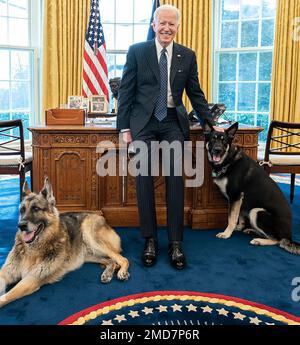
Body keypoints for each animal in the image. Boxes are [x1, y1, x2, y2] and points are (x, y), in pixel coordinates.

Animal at [0, 177, 129, 306]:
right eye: (22, 210)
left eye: (36, 208)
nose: (20, 226)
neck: (33, 249)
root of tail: (101, 217)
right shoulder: (5, 273)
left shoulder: (32, 278)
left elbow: (5, 297)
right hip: (87, 255)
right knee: (111, 261)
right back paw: (108, 273)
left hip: (91, 236)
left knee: (122, 259)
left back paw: (122, 271)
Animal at [203, 119, 298, 254]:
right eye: (212, 139)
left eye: (224, 141)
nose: (217, 150)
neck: (229, 160)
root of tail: (289, 236)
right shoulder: (241, 200)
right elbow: (240, 216)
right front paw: (239, 227)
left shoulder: (235, 197)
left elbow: (231, 218)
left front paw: (227, 233)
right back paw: (252, 231)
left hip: (257, 212)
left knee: (277, 240)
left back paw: (259, 240)